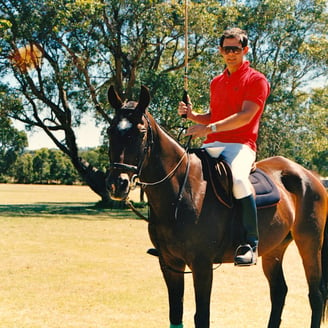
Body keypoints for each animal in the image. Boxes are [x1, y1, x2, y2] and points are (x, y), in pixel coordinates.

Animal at [105, 86, 328, 326]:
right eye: (110, 131)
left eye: (140, 132)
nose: (117, 184)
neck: (180, 192)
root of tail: (311, 176)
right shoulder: (169, 263)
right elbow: (176, 314)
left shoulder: (202, 265)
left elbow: (202, 316)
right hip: (274, 248)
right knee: (279, 291)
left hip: (309, 241)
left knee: (316, 294)